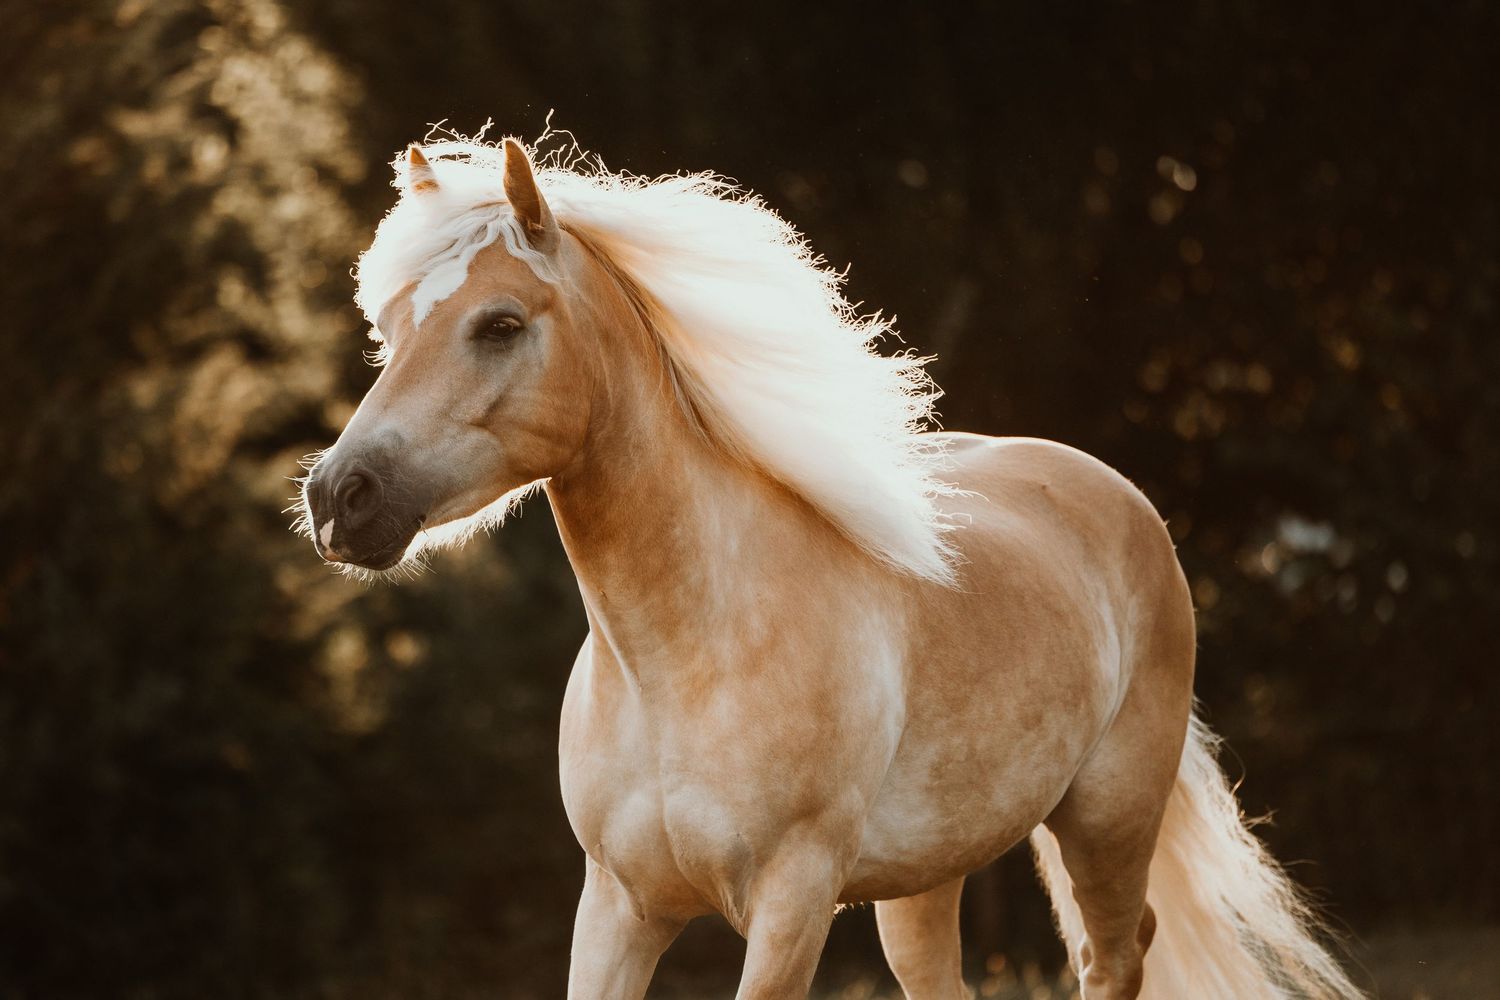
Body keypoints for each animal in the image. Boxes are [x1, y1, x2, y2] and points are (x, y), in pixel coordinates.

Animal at [297, 136, 1362, 1000]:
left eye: (501, 324)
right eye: (390, 328)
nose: (340, 498)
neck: (685, 659)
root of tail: (1118, 499)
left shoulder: (791, 902)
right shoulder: (617, 907)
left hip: (1106, 824)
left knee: (1115, 955)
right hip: (929, 879)